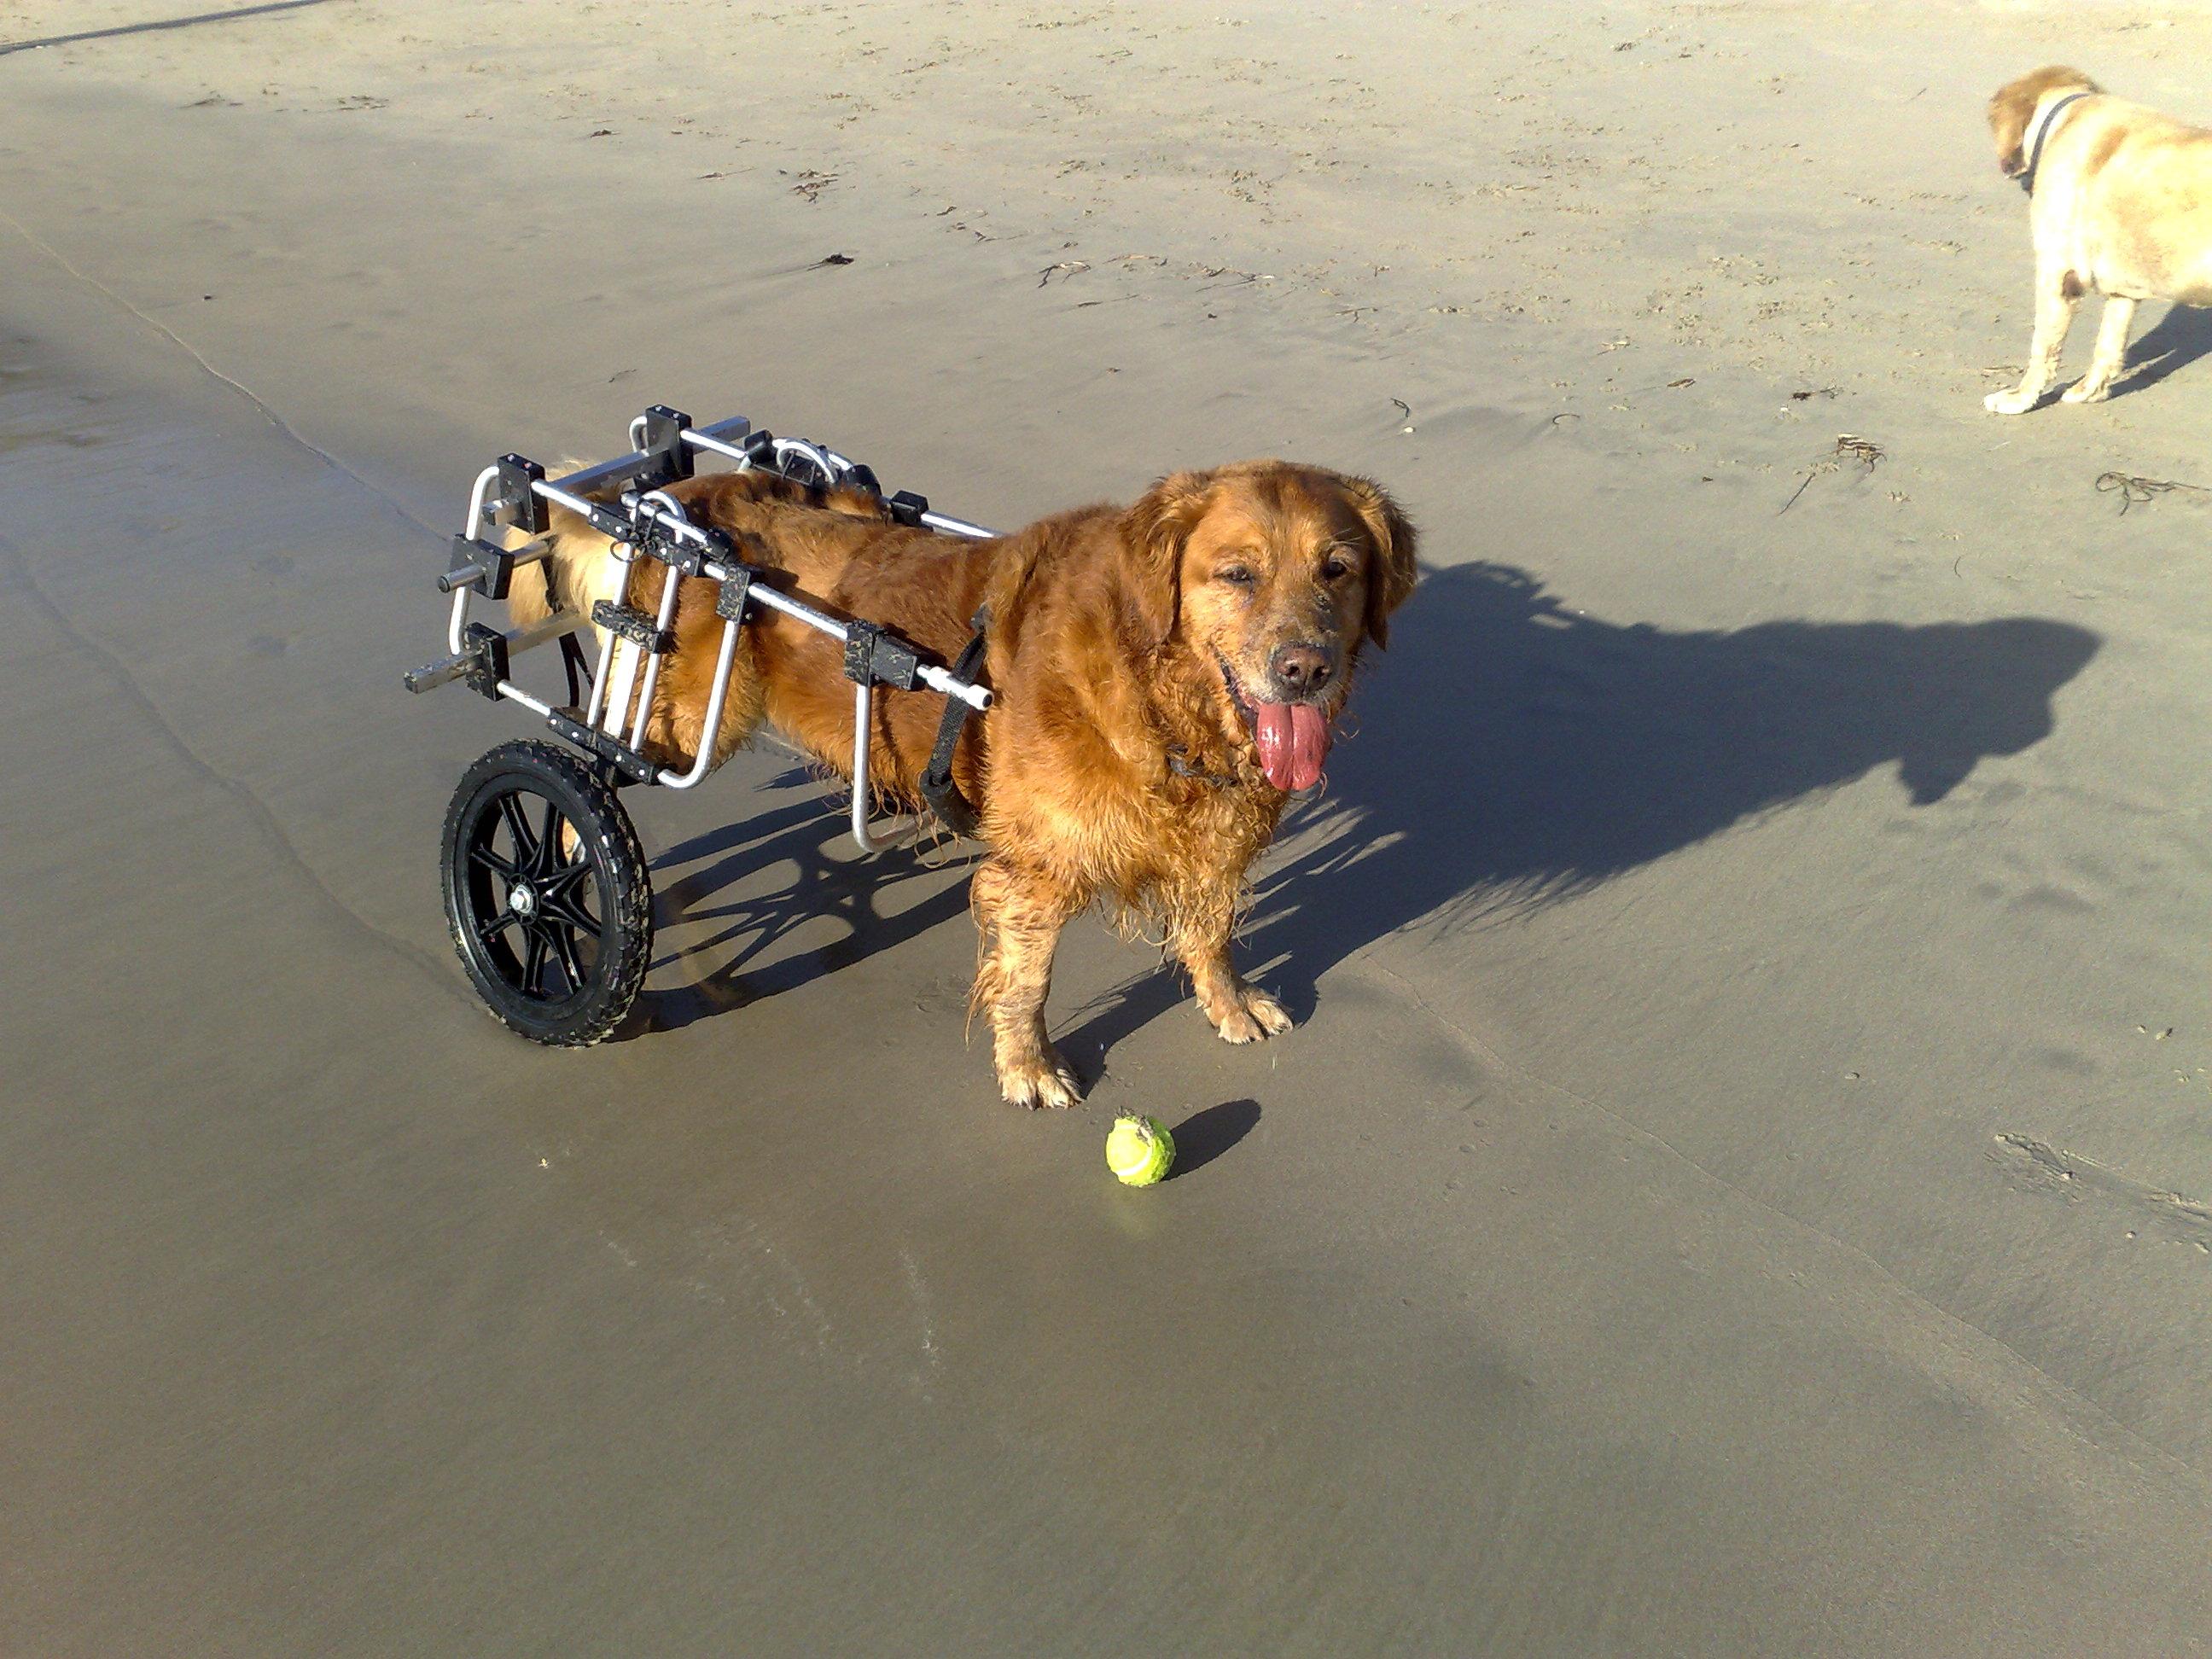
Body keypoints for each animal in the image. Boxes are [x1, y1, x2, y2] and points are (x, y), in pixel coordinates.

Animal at [1990, 69, 2212, 422]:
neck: (2062, 121)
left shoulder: (2056, 275)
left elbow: (2043, 347)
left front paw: (2020, 398)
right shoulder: (2124, 290)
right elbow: (2109, 343)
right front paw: (2089, 391)